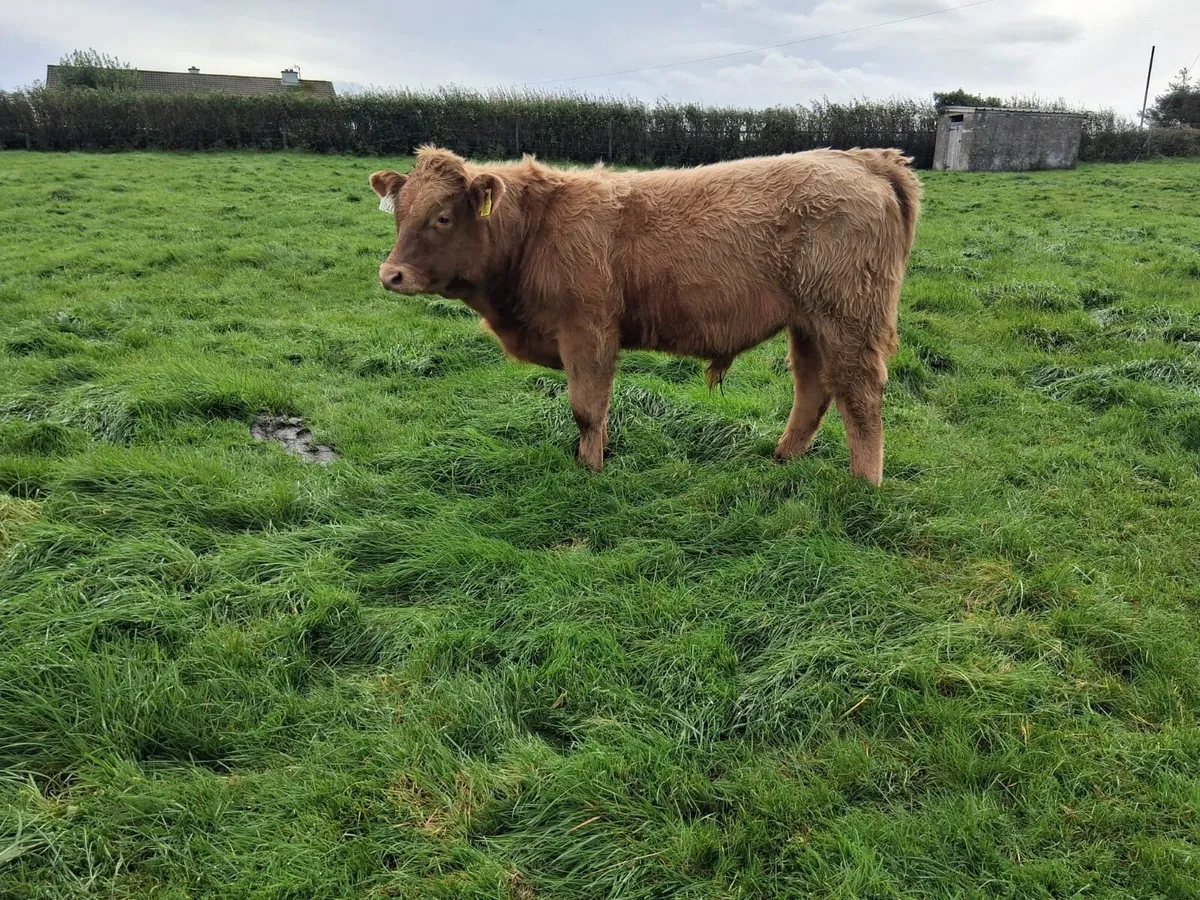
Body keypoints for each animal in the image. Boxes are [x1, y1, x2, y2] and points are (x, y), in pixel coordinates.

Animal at [370, 145, 921, 484]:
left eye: (442, 217)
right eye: (399, 214)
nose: (391, 274)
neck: (534, 230)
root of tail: (864, 159)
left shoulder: (587, 330)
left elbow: (587, 408)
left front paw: (590, 469)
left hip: (848, 318)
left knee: (859, 395)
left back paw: (863, 486)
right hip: (808, 324)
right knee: (813, 389)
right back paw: (783, 459)